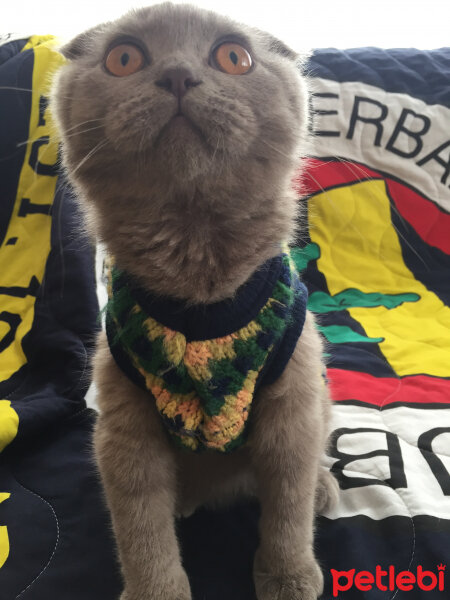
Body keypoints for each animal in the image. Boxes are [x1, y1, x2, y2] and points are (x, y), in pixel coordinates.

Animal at [51, 2, 336, 596]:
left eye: (234, 57)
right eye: (124, 57)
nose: (178, 75)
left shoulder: (293, 402)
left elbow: (288, 504)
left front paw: (288, 576)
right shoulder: (123, 425)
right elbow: (139, 526)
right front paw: (156, 590)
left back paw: (323, 489)